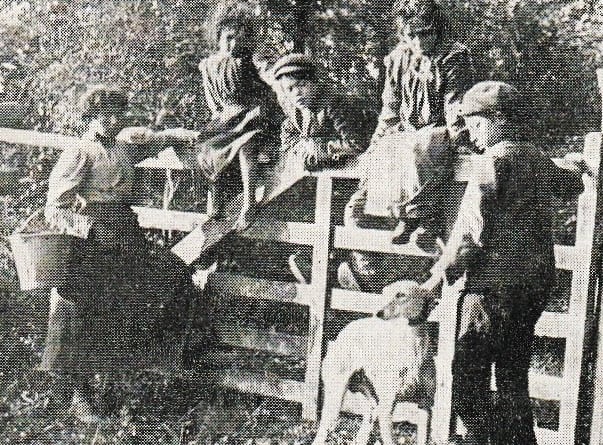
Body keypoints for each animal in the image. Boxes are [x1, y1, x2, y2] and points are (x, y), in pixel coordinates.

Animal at [314, 280, 436, 444]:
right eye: (384, 293)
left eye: (401, 294)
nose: (378, 313)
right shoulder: (387, 407)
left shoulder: (425, 406)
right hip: (336, 398)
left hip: (371, 399)